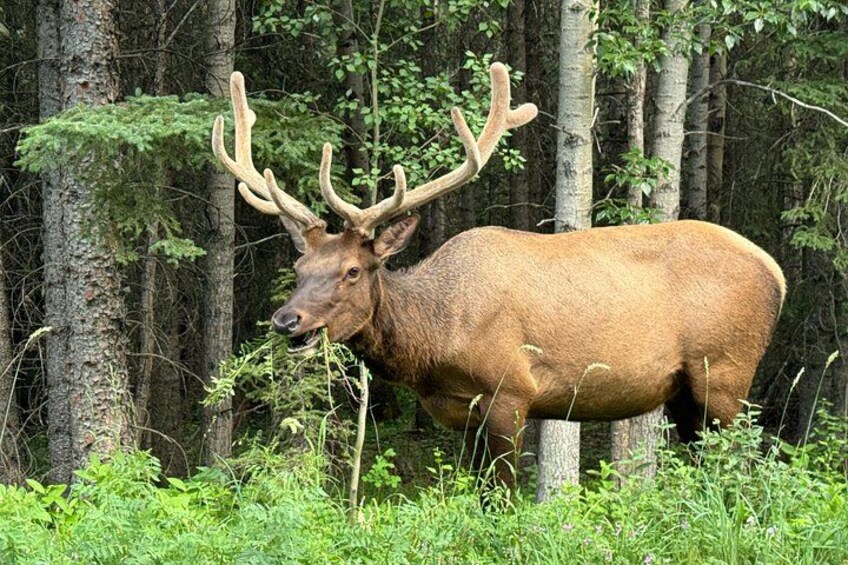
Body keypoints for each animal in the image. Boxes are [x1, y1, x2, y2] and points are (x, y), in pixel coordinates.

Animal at [212, 63, 786, 486]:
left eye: (353, 270)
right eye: (299, 266)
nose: (286, 320)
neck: (436, 339)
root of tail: (778, 274)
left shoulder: (511, 391)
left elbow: (503, 497)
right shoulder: (461, 414)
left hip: (727, 370)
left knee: (748, 467)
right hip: (686, 395)